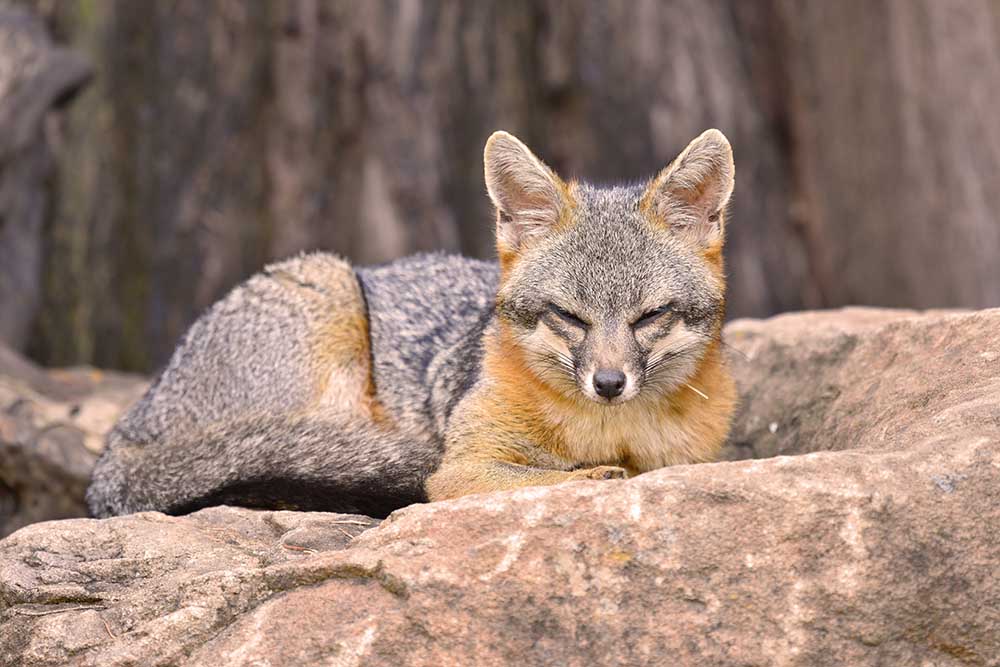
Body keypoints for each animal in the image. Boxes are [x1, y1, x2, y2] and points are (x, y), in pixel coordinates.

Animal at [86, 128, 738, 519]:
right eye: (568, 316)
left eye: (650, 316)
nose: (608, 384)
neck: (613, 434)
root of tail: (127, 430)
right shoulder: (462, 469)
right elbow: (552, 478)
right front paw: (596, 475)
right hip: (329, 286)